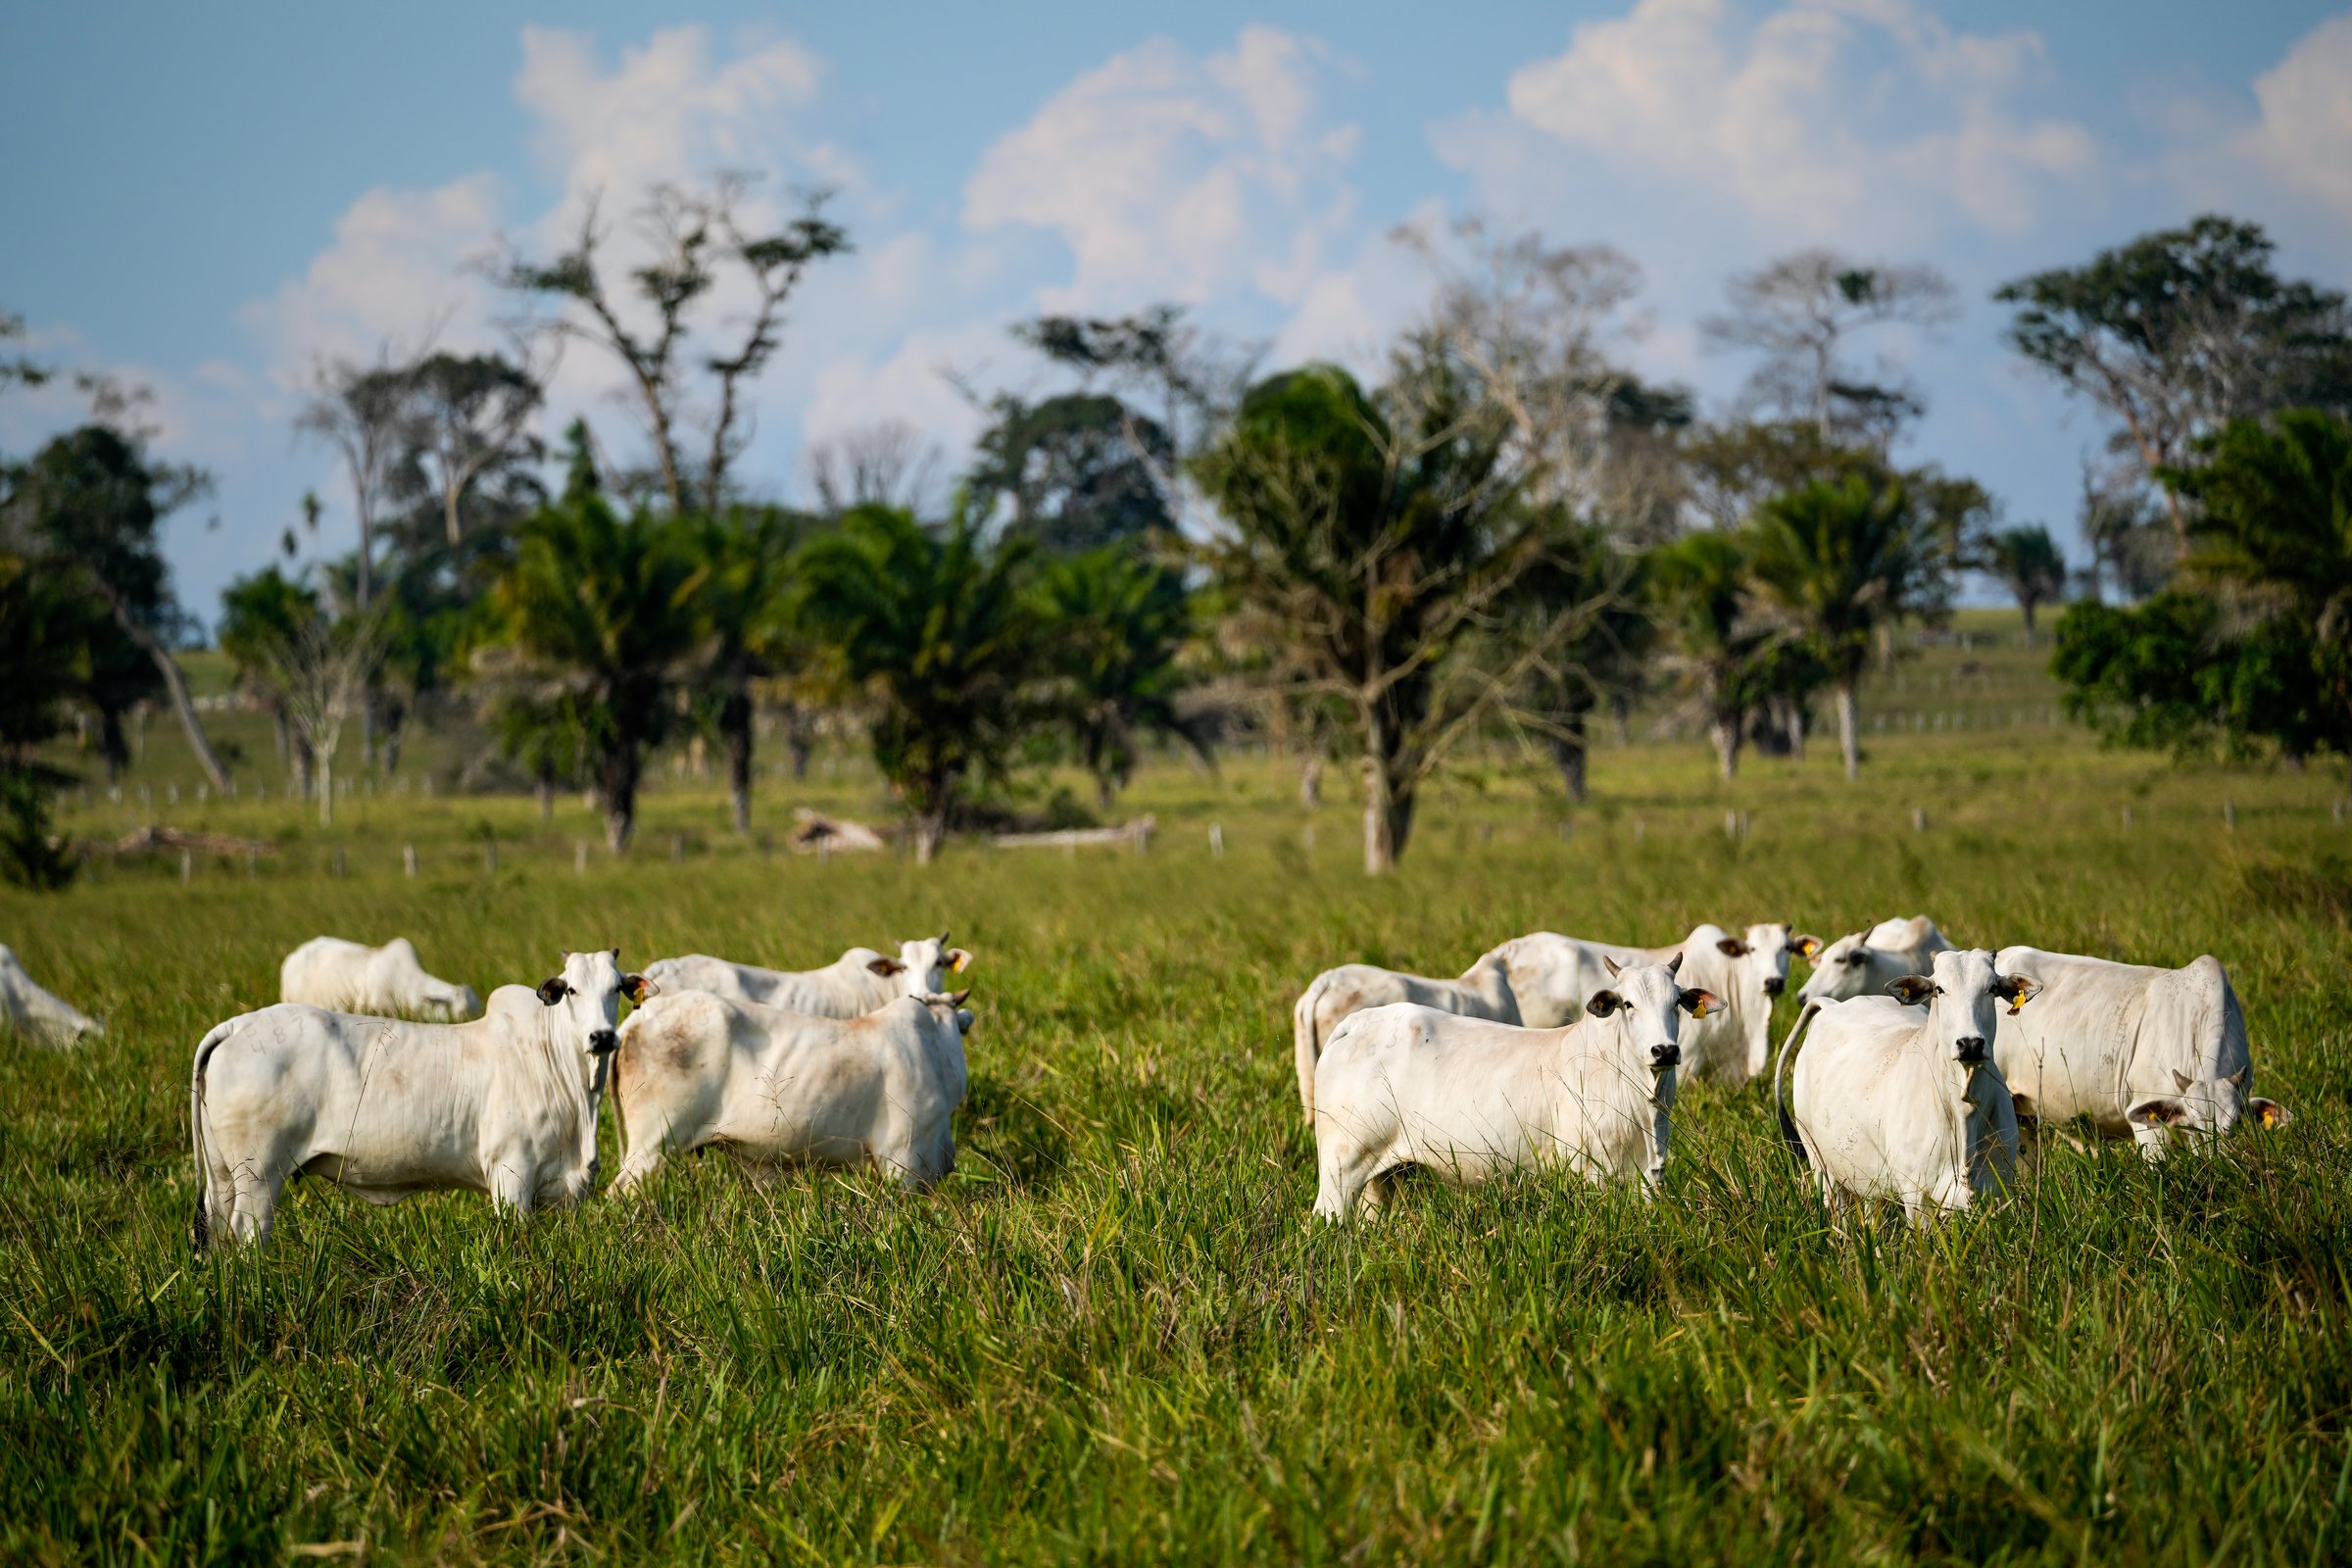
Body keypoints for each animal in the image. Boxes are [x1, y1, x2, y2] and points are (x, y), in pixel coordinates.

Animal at [190, 949, 650, 1248]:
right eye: (571, 990)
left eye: (616, 989)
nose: (602, 1037)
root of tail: (236, 1025)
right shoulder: (511, 1175)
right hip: (260, 1176)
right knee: (249, 1234)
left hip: (224, 1176)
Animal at [1774, 948, 2034, 1225]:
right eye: (1939, 989)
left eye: (1992, 987)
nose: (1970, 1043)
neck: (1963, 1108)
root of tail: (1832, 1005)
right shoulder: (1917, 1197)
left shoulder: (1999, 1191)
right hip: (1820, 1162)